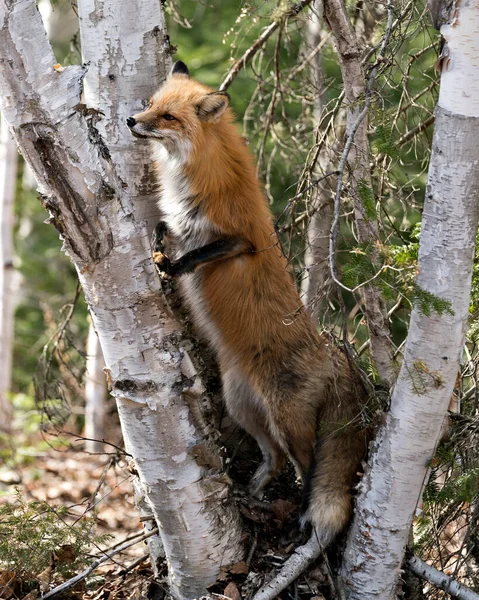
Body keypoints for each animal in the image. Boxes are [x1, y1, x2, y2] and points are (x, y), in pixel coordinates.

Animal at [128, 61, 372, 548]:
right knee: (273, 460)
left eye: (168, 117)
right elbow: (169, 226)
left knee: (305, 468)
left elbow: (201, 254)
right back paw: (251, 493)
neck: (197, 173)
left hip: (288, 423)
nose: (130, 120)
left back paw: (297, 521)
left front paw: (174, 266)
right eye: (151, 105)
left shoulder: (241, 240)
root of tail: (332, 354)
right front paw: (161, 240)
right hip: (243, 406)